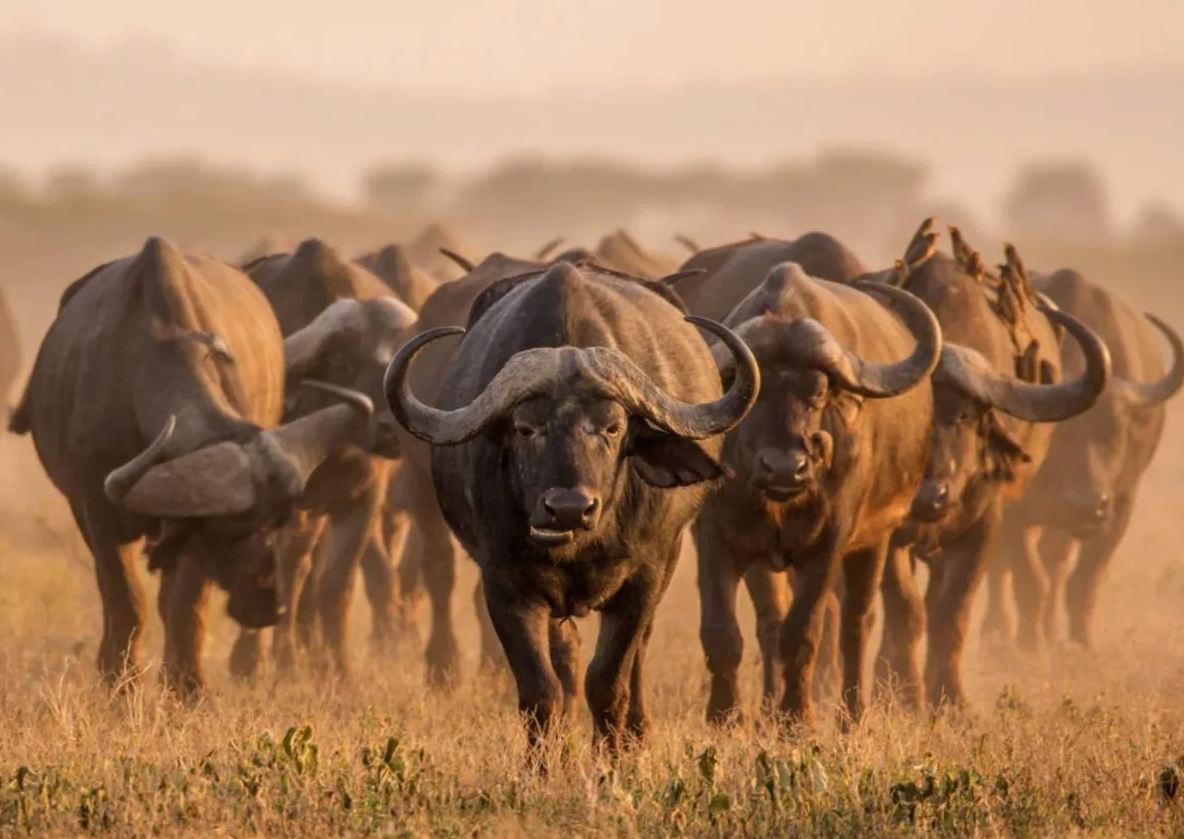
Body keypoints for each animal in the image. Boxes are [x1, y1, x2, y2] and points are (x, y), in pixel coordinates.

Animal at [10, 237, 374, 695]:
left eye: (275, 521)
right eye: (228, 529)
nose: (268, 607)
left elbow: (185, 606)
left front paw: (187, 687)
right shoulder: (97, 512)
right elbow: (125, 600)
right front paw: (119, 684)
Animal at [385, 260, 757, 747]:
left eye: (613, 428)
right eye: (526, 428)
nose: (568, 507)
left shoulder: (642, 579)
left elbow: (610, 682)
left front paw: (613, 756)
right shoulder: (505, 585)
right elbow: (541, 688)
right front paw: (545, 759)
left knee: (637, 654)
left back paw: (637, 731)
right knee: (566, 659)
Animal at [691, 263, 942, 724]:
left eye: (819, 392)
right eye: (751, 393)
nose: (785, 467)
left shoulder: (828, 544)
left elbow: (804, 631)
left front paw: (797, 719)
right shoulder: (715, 535)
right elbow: (721, 633)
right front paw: (725, 717)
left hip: (877, 539)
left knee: (857, 624)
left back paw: (852, 716)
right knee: (770, 622)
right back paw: (767, 713)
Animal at [876, 230, 1112, 705]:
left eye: (966, 415)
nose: (929, 495)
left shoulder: (985, 526)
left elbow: (951, 610)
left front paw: (950, 699)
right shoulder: (888, 531)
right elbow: (905, 610)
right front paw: (905, 693)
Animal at [980, 268, 1184, 648]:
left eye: (1116, 431)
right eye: (1056, 435)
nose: (1086, 505)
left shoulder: (1119, 507)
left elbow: (1083, 581)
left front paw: (1081, 642)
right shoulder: (1012, 509)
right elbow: (1027, 578)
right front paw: (1029, 643)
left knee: (1055, 562)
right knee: (1002, 567)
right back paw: (998, 628)